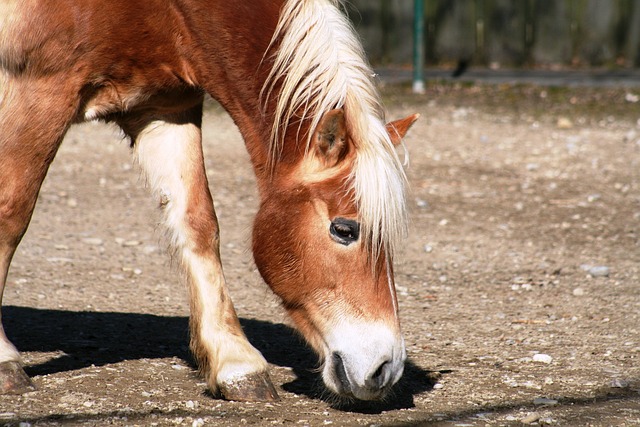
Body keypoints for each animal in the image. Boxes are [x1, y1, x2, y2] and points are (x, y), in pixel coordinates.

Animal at [0, 0, 418, 402]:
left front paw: (236, 363)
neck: (166, 9)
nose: (386, 368)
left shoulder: (164, 109)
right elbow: (11, 215)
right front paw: (5, 361)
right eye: (344, 230)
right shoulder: (38, 89)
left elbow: (198, 224)